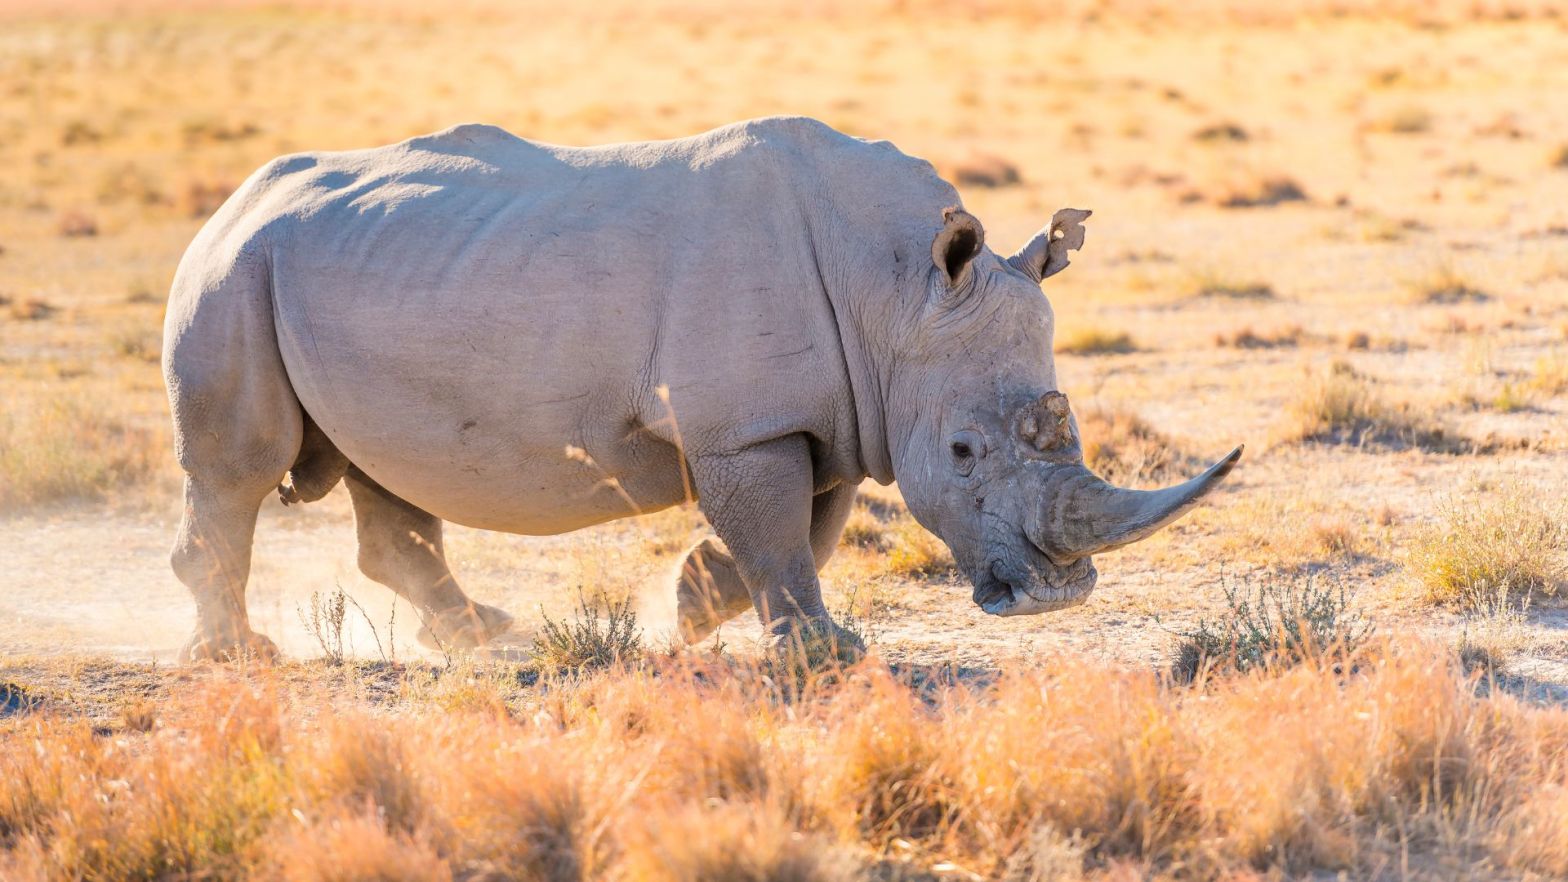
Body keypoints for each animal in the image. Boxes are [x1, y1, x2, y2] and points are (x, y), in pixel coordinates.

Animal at [162, 116, 1240, 661]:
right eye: (964, 453)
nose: (1053, 600)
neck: (897, 291)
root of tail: (233, 201)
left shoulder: (823, 416)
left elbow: (802, 530)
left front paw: (689, 610)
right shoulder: (745, 426)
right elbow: (779, 534)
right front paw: (826, 656)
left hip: (332, 274)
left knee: (385, 471)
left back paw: (482, 635)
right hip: (232, 273)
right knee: (239, 470)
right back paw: (239, 658)